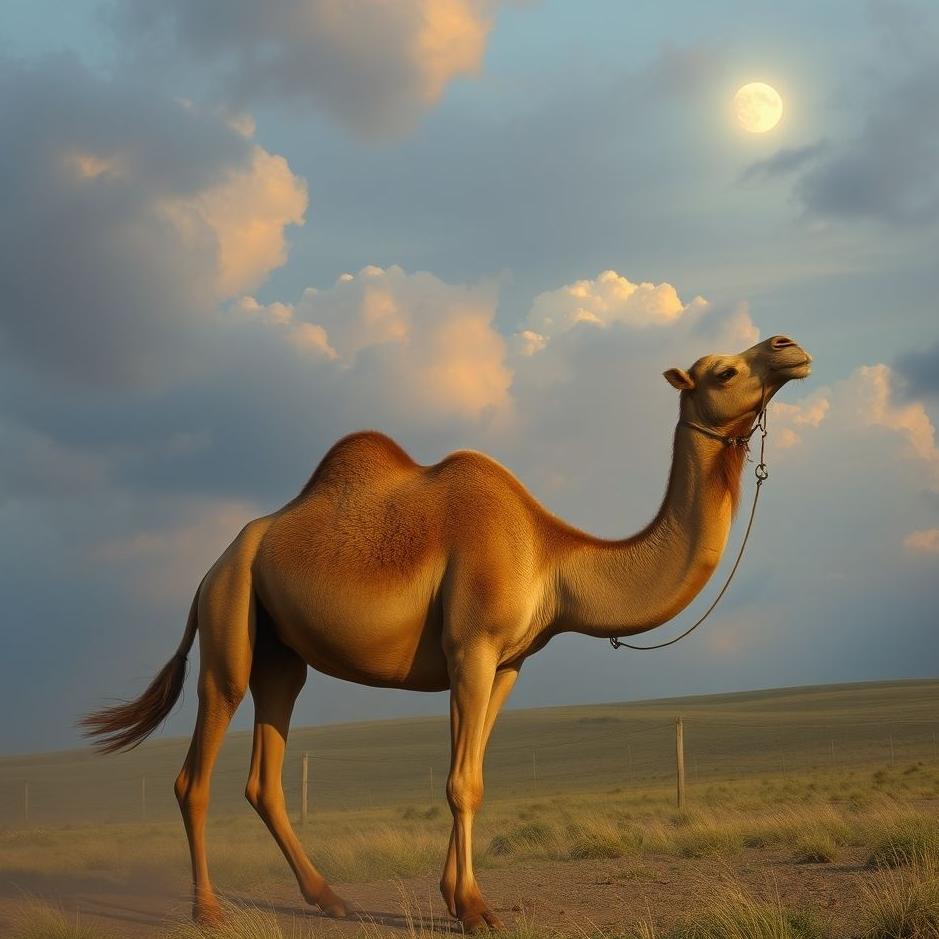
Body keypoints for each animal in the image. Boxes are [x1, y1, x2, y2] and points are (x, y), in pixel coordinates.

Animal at [82, 334, 811, 931]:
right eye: (723, 369)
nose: (789, 347)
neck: (553, 558)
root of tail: (213, 566)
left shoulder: (509, 662)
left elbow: (477, 776)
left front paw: (458, 898)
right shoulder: (471, 646)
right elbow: (461, 782)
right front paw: (476, 908)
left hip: (281, 655)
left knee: (266, 773)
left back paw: (332, 898)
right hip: (229, 623)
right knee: (196, 770)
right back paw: (208, 909)